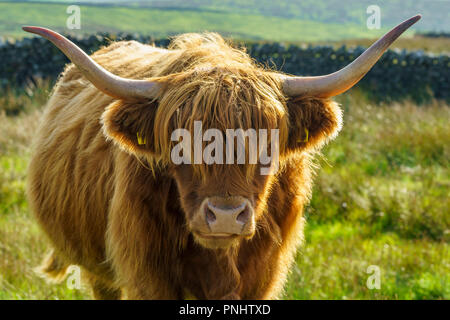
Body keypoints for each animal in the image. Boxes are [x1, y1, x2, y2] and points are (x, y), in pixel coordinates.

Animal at [23, 15, 418, 300]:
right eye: (179, 145)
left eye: (268, 145)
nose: (225, 217)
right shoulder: (148, 274)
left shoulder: (262, 276)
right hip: (97, 269)